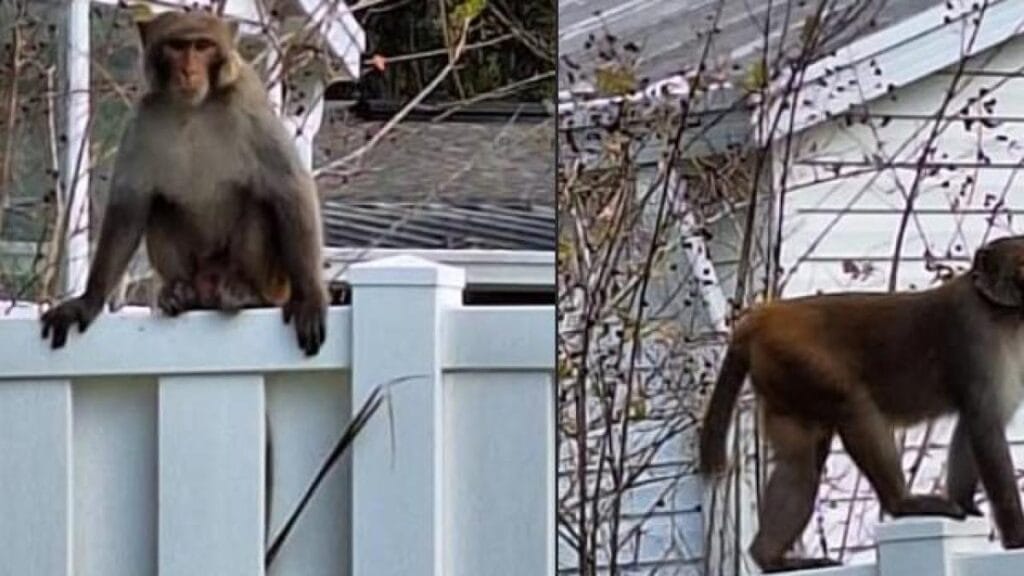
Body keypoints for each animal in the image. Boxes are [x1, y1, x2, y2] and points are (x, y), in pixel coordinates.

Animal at [40, 10, 326, 356]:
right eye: (177, 47)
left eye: (202, 46)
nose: (188, 70)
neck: (194, 106)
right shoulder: (144, 116)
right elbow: (130, 205)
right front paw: (88, 301)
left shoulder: (247, 103)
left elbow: (290, 188)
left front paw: (310, 298)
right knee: (160, 206)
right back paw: (180, 292)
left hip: (272, 280)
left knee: (258, 203)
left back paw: (244, 290)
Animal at [699, 235, 1024, 573]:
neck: (1003, 313)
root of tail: (761, 320)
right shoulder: (973, 329)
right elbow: (985, 423)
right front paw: (1017, 537)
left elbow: (976, 423)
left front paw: (965, 502)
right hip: (795, 355)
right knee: (853, 404)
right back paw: (902, 503)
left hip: (781, 378)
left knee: (799, 463)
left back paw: (770, 558)